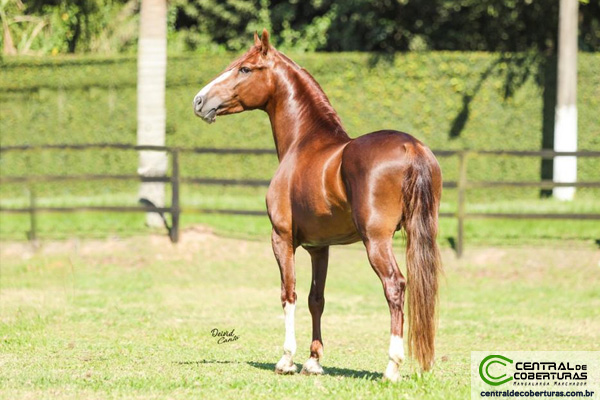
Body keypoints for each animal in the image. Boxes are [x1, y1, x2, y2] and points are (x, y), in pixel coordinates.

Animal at [192, 30, 440, 382]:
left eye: (245, 68)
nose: (199, 101)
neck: (304, 143)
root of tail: (411, 147)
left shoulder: (281, 238)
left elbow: (289, 294)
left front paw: (286, 360)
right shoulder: (319, 248)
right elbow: (316, 299)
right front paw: (313, 361)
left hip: (376, 241)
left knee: (395, 286)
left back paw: (391, 366)